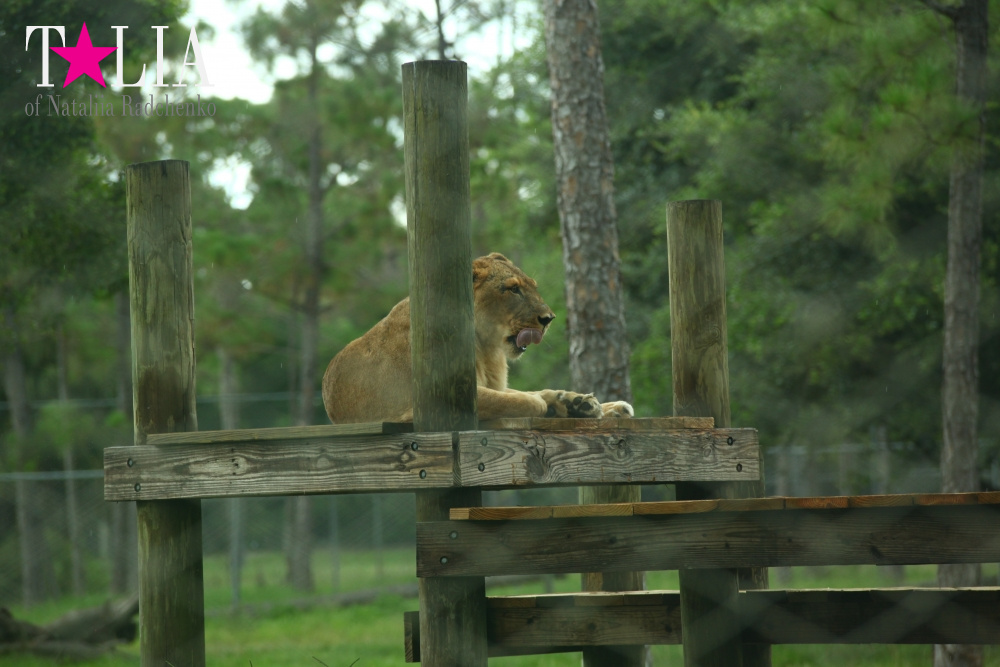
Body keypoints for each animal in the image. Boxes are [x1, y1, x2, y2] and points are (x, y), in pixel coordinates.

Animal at [321, 253, 634, 424]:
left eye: (532, 286)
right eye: (512, 289)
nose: (548, 319)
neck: (486, 347)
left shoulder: (494, 384)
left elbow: (534, 394)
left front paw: (583, 403)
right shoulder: (440, 399)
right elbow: (530, 402)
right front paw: (558, 406)